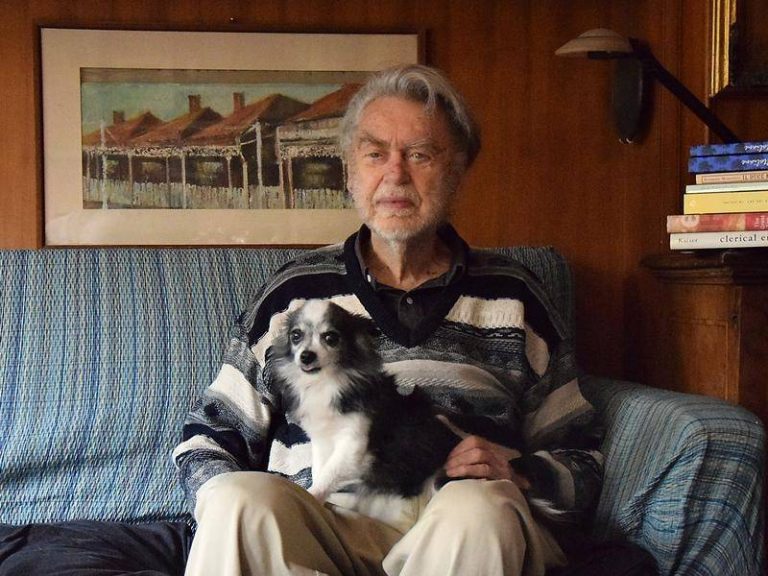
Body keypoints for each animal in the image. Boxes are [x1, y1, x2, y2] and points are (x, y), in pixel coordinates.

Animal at [269, 299, 565, 520]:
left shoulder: (354, 446)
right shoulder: (322, 442)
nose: (306, 356)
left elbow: (327, 476)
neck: (327, 381)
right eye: (296, 336)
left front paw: (311, 495)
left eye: (331, 338)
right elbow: (321, 471)